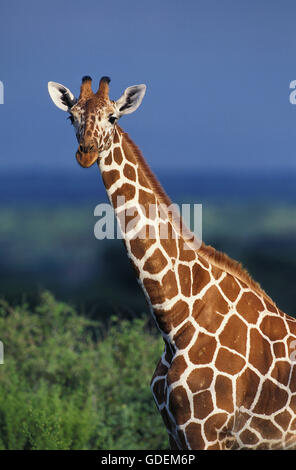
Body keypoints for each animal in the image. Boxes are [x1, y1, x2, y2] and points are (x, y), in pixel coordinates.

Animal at [47, 75, 296, 450]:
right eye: (70, 116)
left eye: (113, 118)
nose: (86, 153)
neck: (177, 321)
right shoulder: (175, 431)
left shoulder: (205, 431)